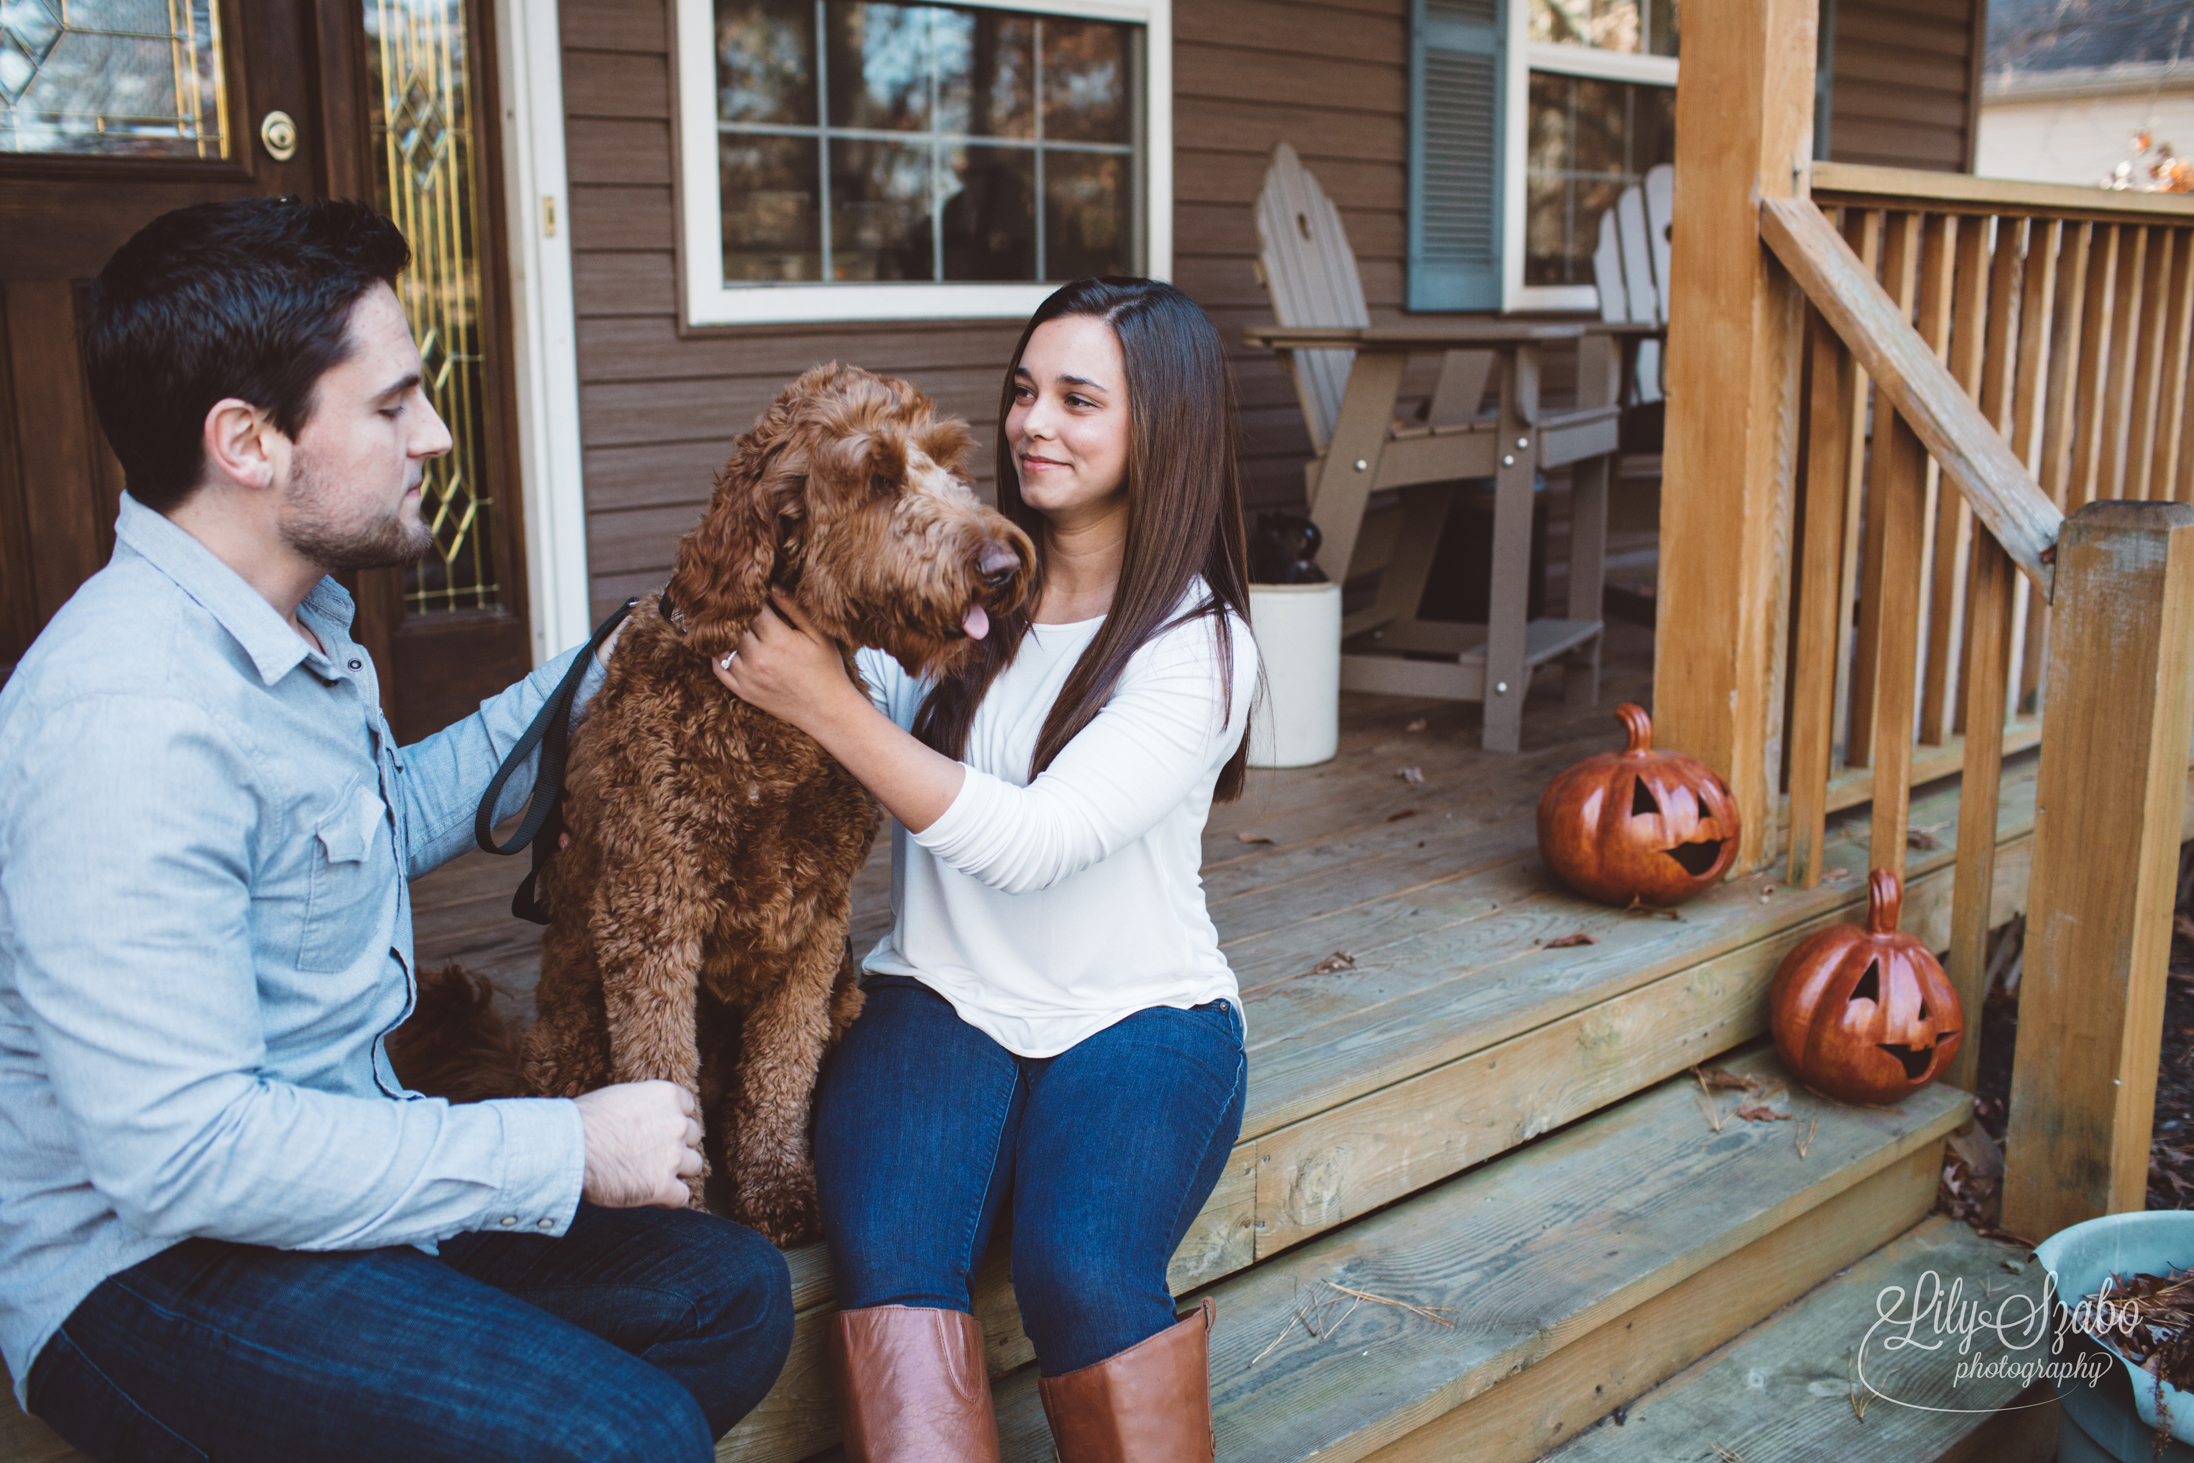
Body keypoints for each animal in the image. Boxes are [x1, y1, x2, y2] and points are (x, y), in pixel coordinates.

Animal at [397, 359, 1035, 1245]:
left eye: (947, 458)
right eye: (876, 478)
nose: (1004, 564)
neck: (771, 727)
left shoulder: (816, 923)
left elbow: (781, 1072)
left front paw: (776, 1185)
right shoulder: (654, 912)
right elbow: (663, 1073)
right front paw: (686, 1212)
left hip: (844, 991)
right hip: (574, 1019)